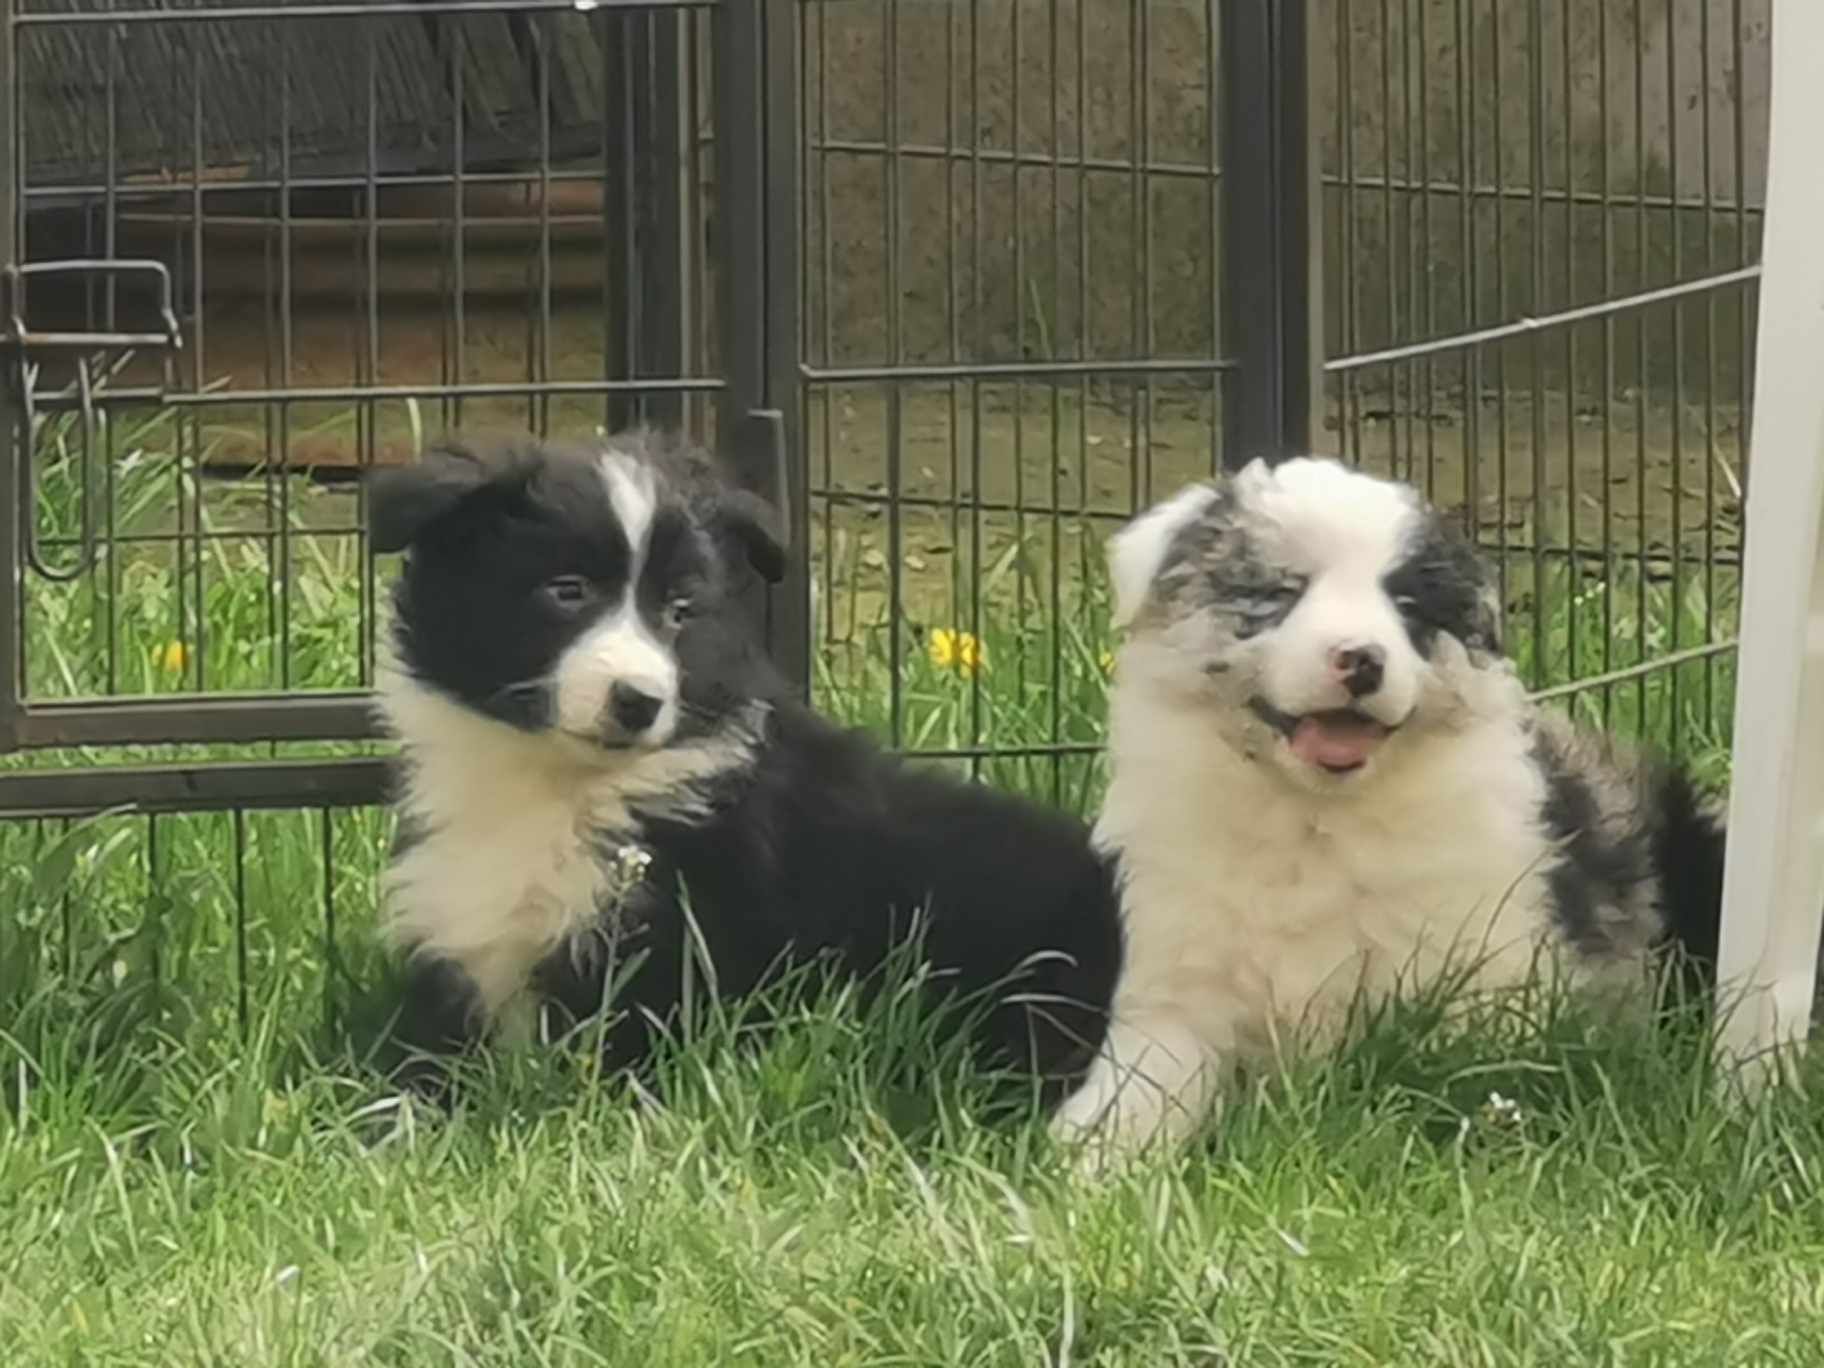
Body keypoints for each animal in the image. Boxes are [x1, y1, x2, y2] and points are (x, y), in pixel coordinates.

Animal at [1057, 457, 1721, 1167]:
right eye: (1282, 592)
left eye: (1405, 606)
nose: (1363, 659)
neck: (1313, 817)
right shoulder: (1175, 990)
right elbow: (1141, 1085)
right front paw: (1094, 1162)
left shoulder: (1470, 985)